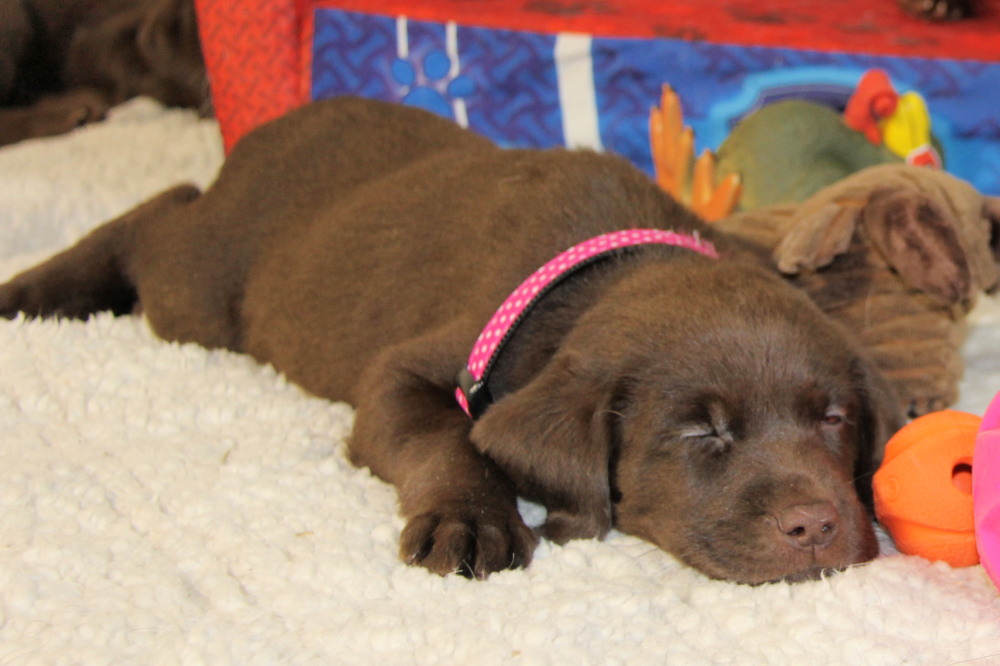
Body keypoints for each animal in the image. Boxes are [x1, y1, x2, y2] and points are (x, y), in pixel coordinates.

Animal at [0, 97, 904, 580]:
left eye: (834, 420)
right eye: (700, 433)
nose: (816, 527)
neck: (606, 266)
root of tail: (256, 136)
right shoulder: (406, 372)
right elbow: (445, 435)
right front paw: (471, 520)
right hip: (200, 291)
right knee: (158, 215)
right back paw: (32, 291)